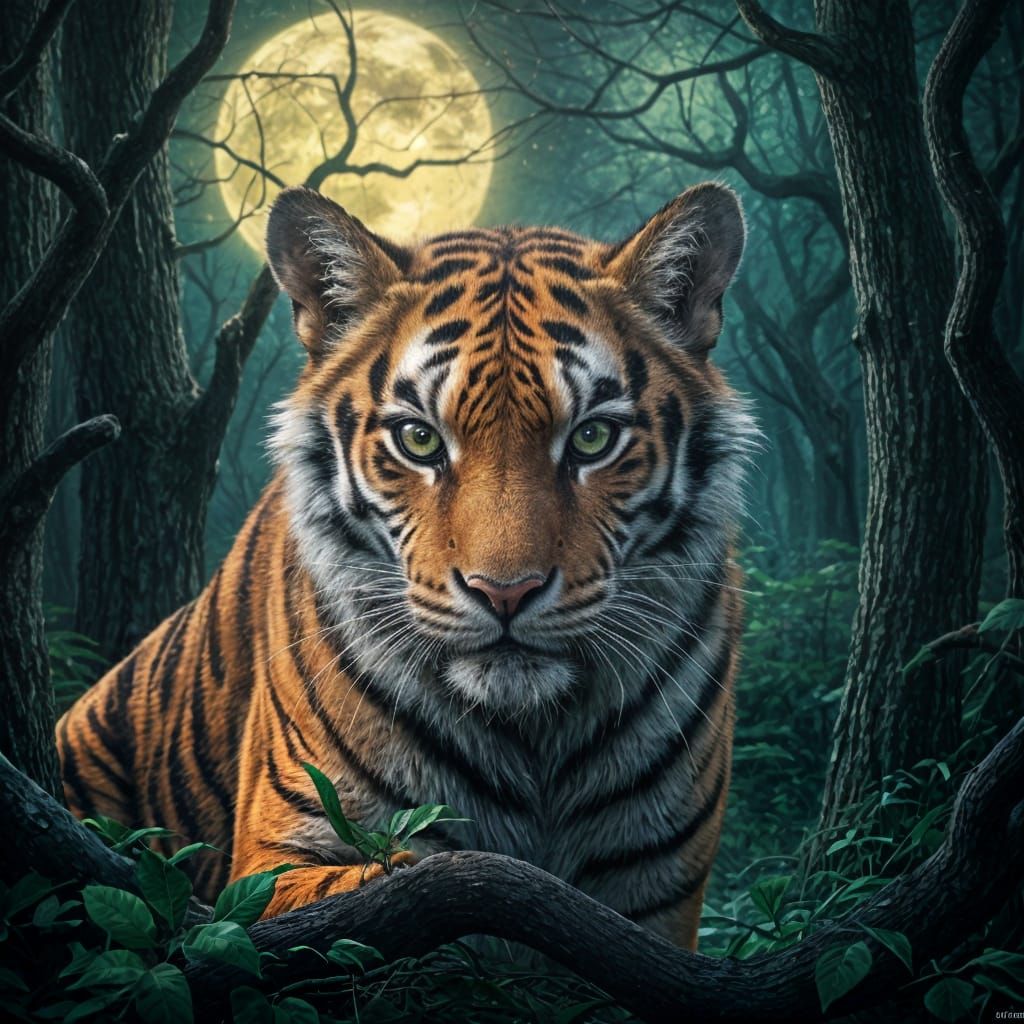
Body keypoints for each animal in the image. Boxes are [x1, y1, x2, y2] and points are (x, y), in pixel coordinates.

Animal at [57, 181, 753, 949]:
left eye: (593, 438)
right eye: (419, 440)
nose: (504, 593)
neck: (533, 737)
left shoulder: (657, 894)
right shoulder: (275, 863)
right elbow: (411, 888)